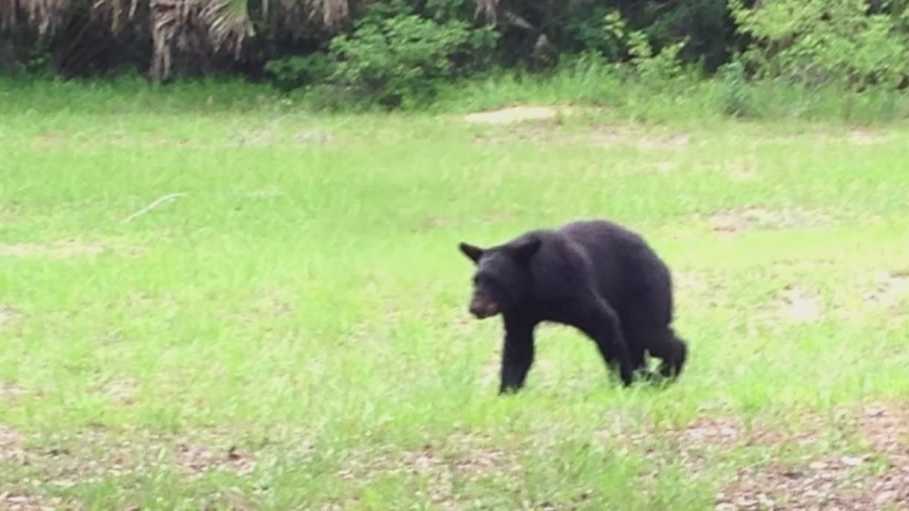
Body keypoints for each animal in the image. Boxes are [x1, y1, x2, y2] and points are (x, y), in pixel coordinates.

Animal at [458, 219, 688, 394]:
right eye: (476, 280)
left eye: (495, 281)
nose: (475, 307)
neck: (532, 288)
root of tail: (655, 255)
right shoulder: (519, 311)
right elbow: (518, 347)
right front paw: (507, 390)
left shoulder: (571, 285)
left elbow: (604, 321)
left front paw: (624, 380)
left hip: (642, 289)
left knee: (648, 332)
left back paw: (665, 373)